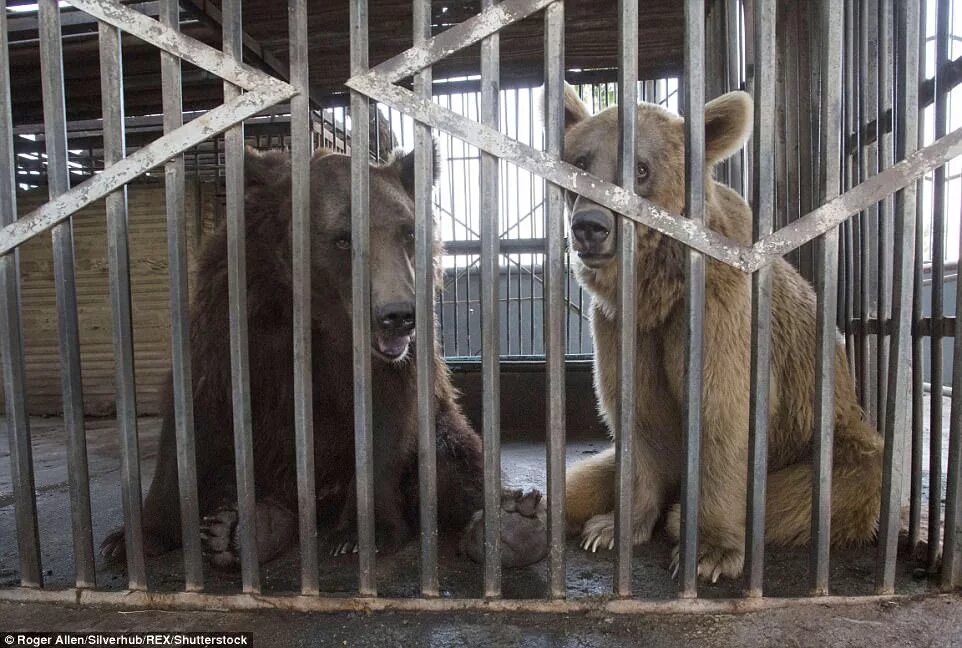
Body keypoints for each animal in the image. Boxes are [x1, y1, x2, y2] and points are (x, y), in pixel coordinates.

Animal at [102, 143, 548, 568]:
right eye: (343, 238)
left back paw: (510, 527)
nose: (398, 315)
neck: (318, 313)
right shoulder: (232, 324)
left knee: (454, 461)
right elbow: (195, 413)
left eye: (407, 232)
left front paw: (361, 534)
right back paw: (236, 530)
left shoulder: (392, 364)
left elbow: (385, 422)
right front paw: (133, 539)